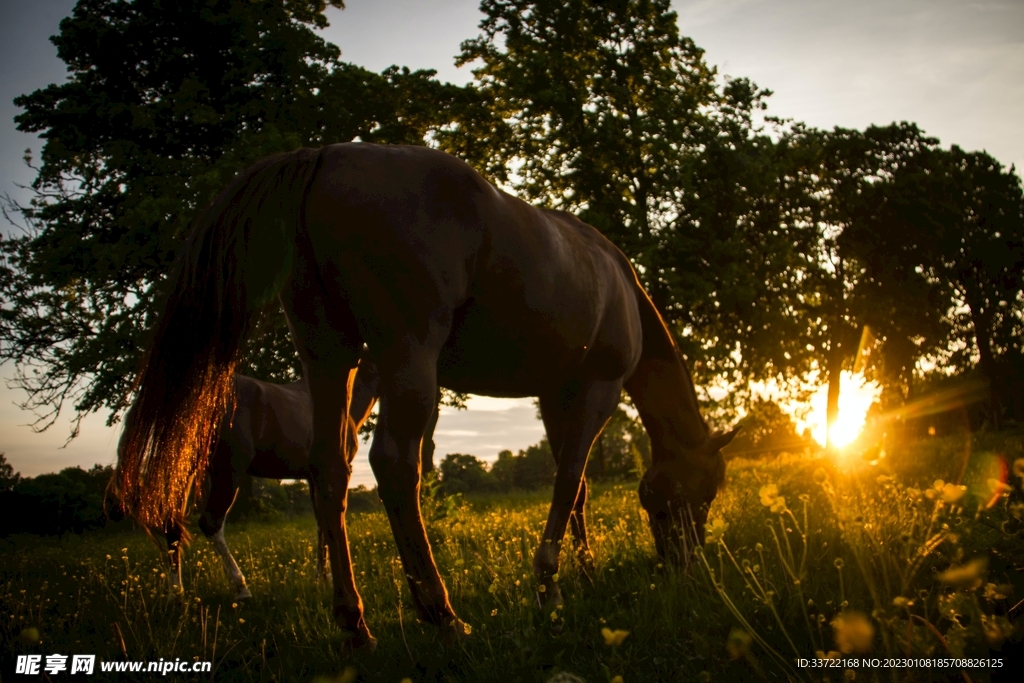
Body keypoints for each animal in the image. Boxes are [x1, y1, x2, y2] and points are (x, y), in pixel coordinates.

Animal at [115, 143, 737, 648]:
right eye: (704, 491)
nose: (686, 563)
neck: (615, 281)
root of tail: (323, 157)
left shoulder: (554, 397)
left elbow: (578, 488)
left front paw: (578, 574)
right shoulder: (596, 392)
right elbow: (567, 483)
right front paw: (548, 586)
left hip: (329, 357)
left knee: (329, 471)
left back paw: (354, 623)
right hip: (407, 359)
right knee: (393, 464)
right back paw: (441, 615)